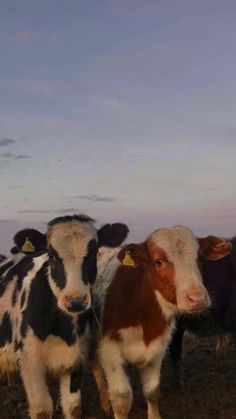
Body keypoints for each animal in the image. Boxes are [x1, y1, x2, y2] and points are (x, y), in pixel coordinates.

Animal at [0, 215, 128, 418]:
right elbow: (42, 409)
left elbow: (73, 407)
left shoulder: (75, 361)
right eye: (52, 255)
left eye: (93, 253)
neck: (62, 329)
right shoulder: (30, 363)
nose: (75, 301)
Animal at [93, 226, 214, 419]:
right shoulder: (110, 352)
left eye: (198, 258)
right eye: (159, 261)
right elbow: (121, 400)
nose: (197, 298)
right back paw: (104, 402)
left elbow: (152, 391)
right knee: (96, 368)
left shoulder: (157, 349)